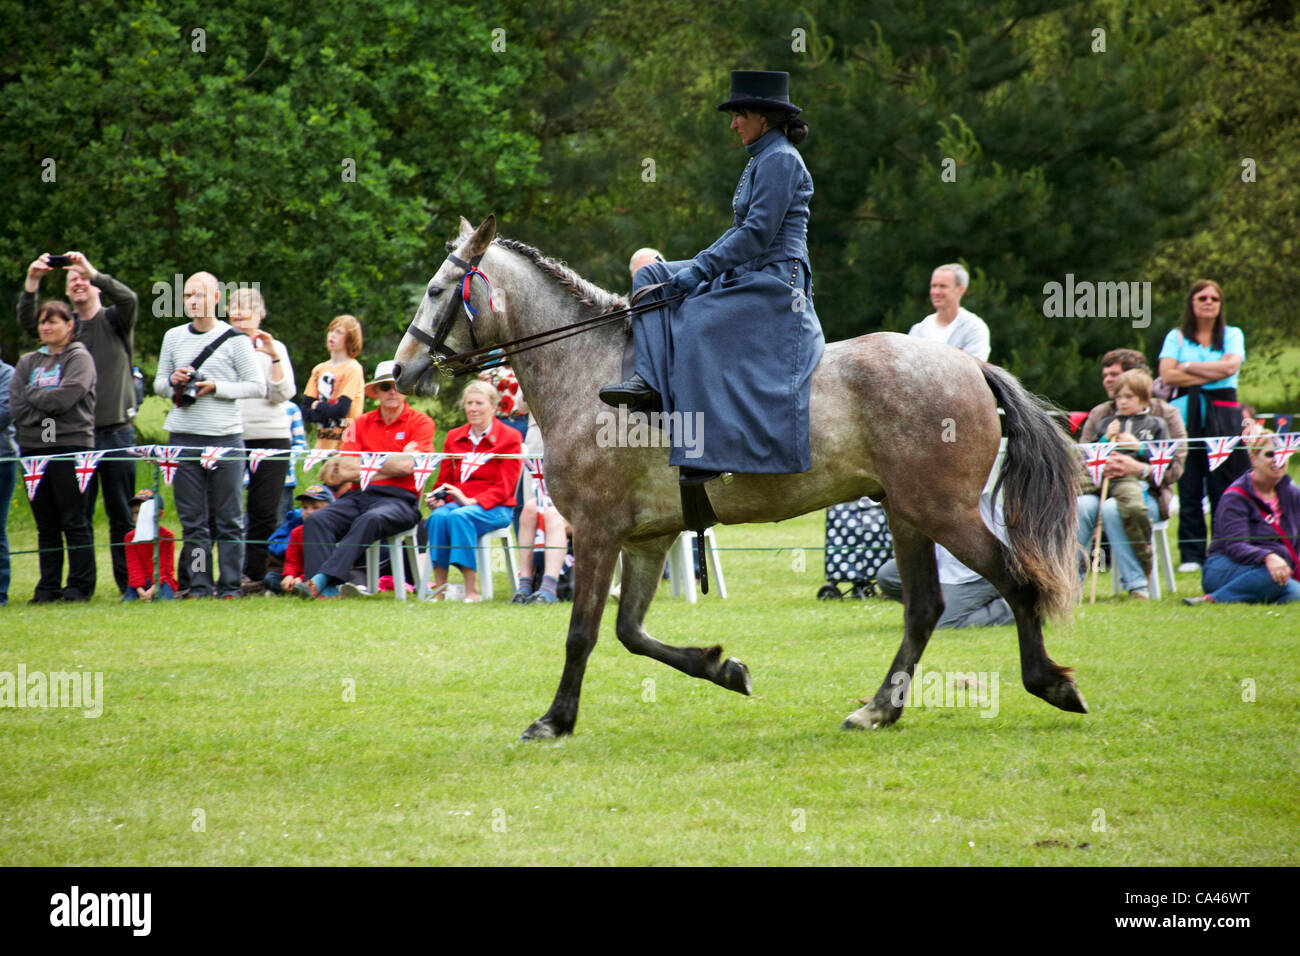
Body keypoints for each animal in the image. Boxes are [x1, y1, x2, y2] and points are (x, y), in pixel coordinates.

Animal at [390, 217, 1081, 738]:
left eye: (437, 290)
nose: (400, 371)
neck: (591, 370)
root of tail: (969, 367)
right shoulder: (647, 538)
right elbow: (630, 632)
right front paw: (722, 668)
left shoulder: (597, 530)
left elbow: (582, 632)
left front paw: (555, 720)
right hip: (907, 513)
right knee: (924, 608)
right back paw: (880, 708)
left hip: (943, 512)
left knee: (1015, 580)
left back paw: (1049, 683)